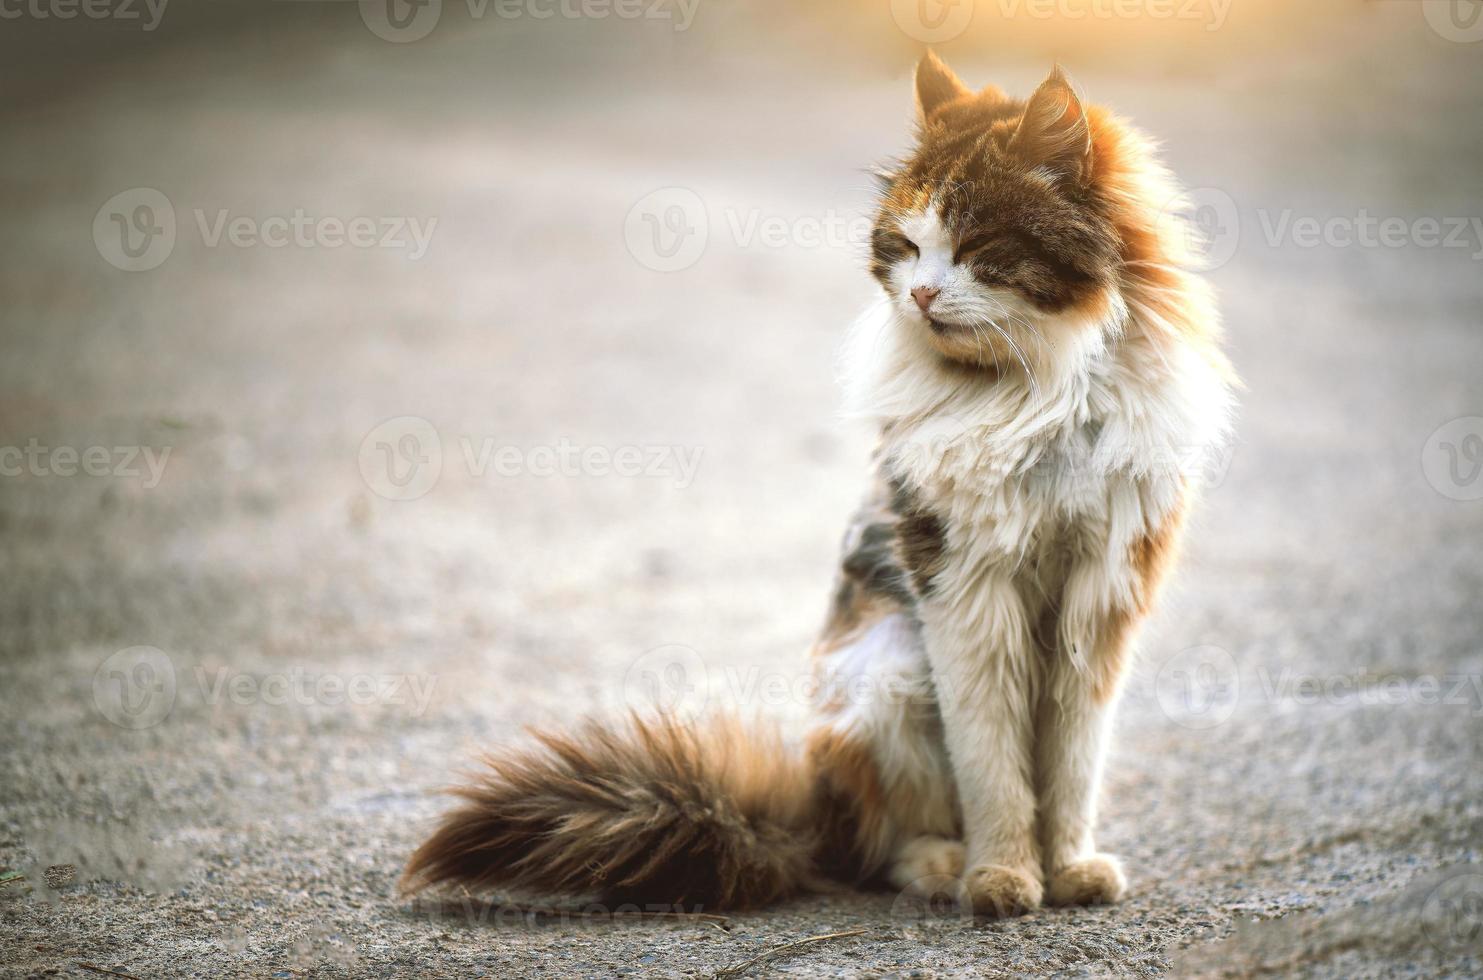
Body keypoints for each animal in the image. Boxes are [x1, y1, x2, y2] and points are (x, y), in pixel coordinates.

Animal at [400, 49, 1233, 913]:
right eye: (906, 248)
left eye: (974, 245)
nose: (922, 294)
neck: (1038, 391)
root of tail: (804, 815)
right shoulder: (965, 590)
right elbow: (995, 768)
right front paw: (1002, 877)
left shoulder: (1100, 595)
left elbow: (1070, 766)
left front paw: (1069, 870)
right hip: (886, 676)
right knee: (878, 847)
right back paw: (944, 869)